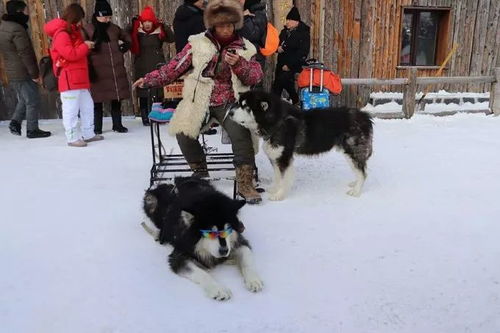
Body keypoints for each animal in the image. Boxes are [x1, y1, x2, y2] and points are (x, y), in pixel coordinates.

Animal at [229, 89, 374, 200]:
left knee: (363, 173)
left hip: (353, 150)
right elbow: (277, 177)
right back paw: (355, 183)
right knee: (360, 170)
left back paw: (356, 191)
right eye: (238, 103)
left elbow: (284, 179)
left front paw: (279, 195)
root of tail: (365, 116)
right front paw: (275, 189)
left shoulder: (284, 158)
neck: (277, 121)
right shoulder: (275, 156)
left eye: (246, 107)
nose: (229, 113)